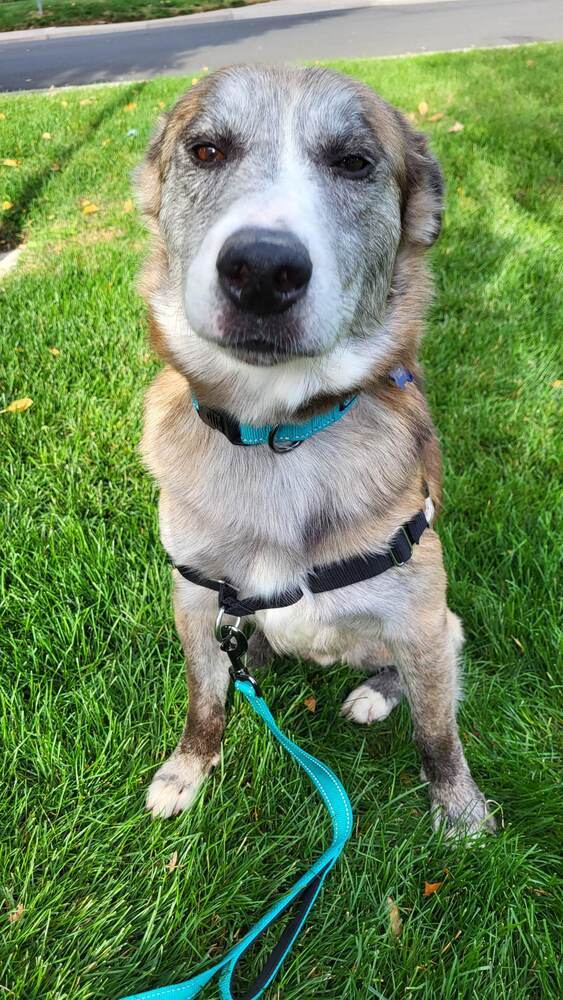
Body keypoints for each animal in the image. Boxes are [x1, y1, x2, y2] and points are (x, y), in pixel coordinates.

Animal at [135, 64, 494, 836]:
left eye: (353, 163)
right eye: (205, 151)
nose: (261, 269)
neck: (280, 438)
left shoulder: (421, 614)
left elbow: (437, 731)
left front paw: (460, 812)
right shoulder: (194, 597)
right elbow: (202, 698)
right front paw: (188, 770)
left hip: (436, 622)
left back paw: (373, 692)